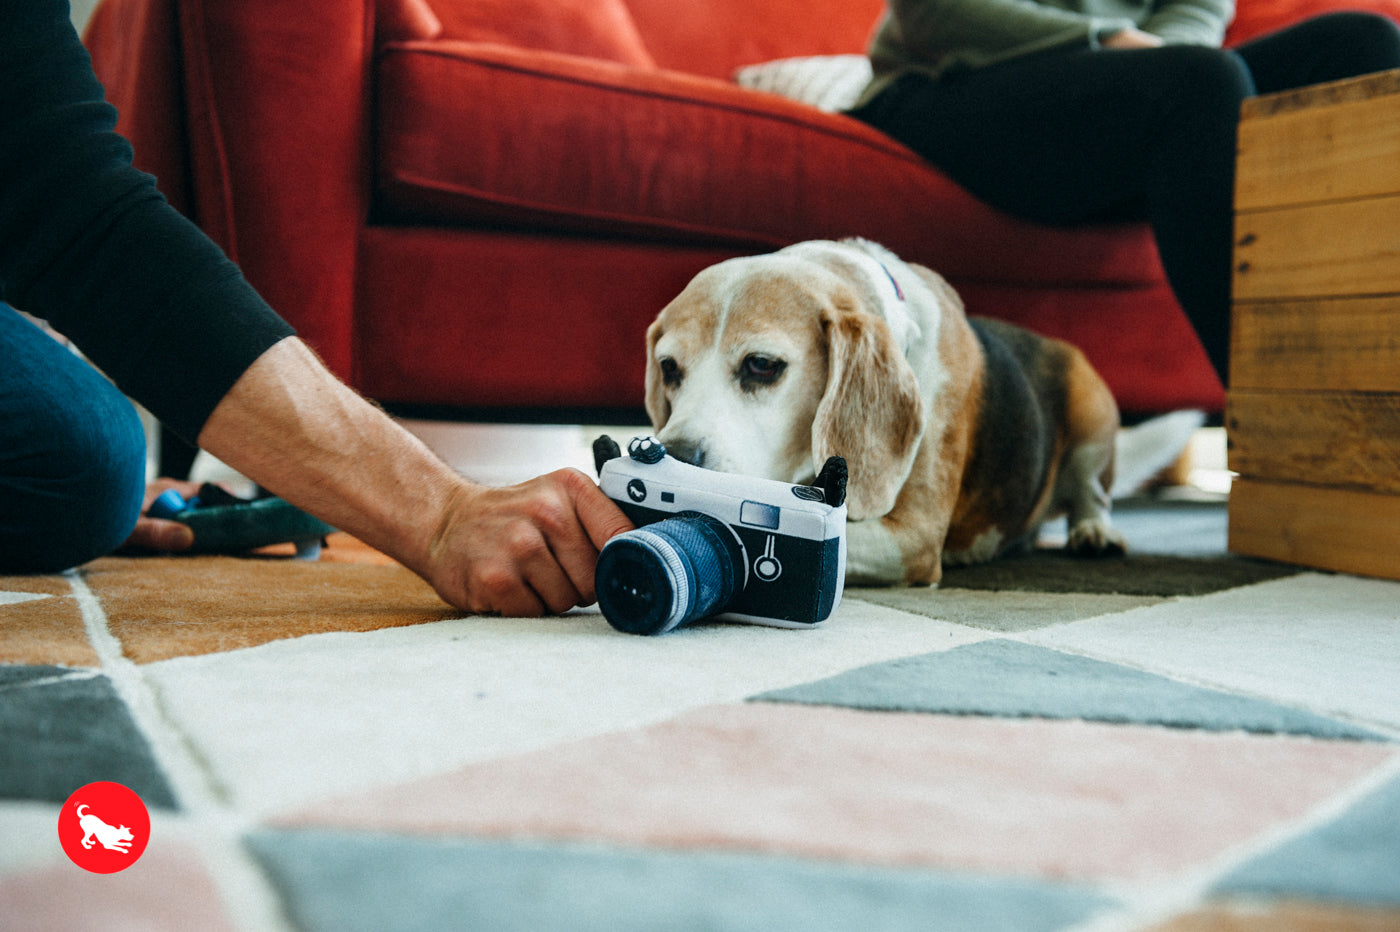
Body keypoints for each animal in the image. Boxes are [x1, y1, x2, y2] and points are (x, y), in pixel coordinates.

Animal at [644, 239, 1125, 587]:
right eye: (668, 368)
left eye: (761, 364)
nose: (676, 457)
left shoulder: (914, 538)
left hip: (1094, 420)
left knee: (1093, 494)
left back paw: (1094, 533)